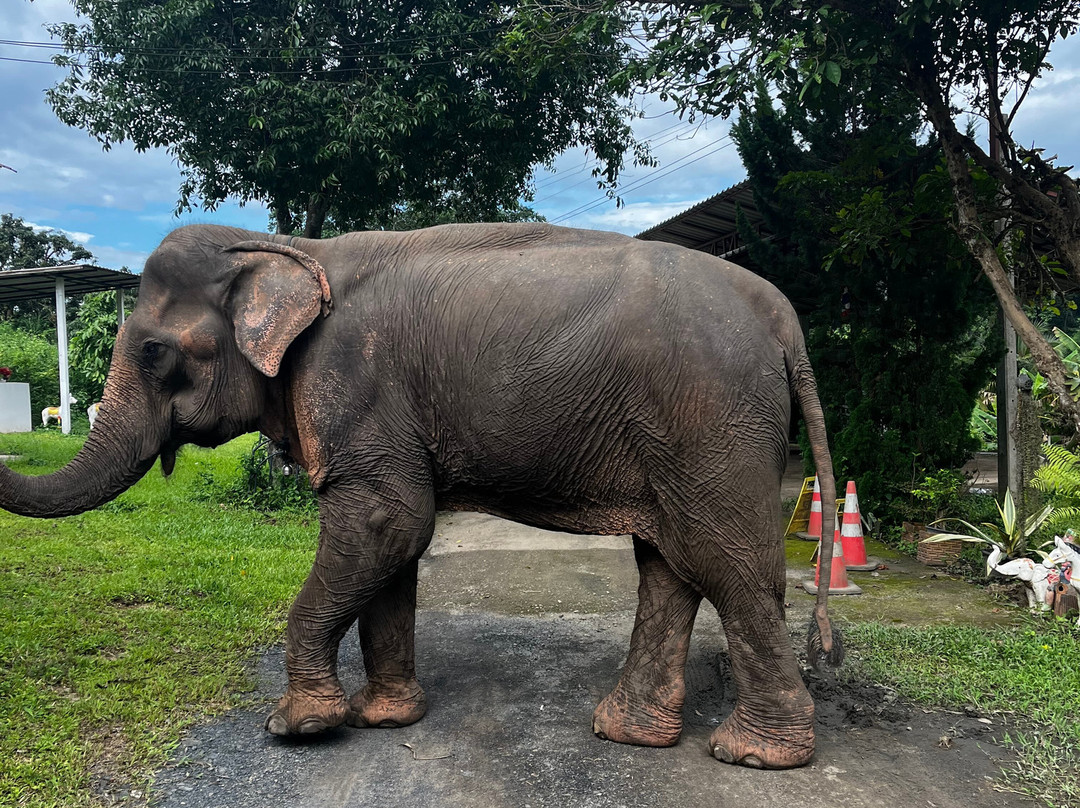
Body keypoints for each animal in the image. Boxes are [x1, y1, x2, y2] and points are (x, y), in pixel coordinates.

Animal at [0, 222, 841, 770]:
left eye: (152, 351)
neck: (289, 246)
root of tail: (782, 315)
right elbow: (392, 547)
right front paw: (386, 720)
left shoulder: (354, 382)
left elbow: (387, 524)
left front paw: (300, 727)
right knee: (669, 562)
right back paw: (630, 734)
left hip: (711, 416)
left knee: (725, 565)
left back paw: (754, 754)